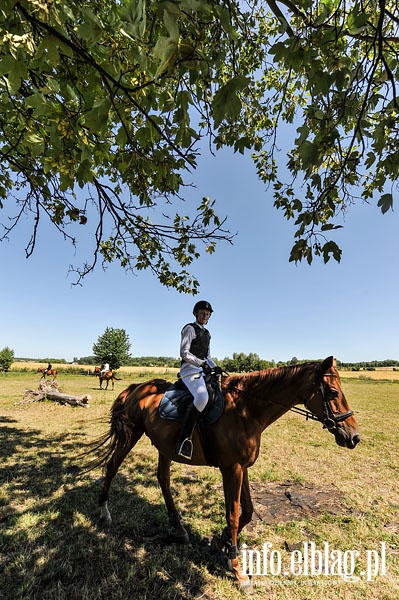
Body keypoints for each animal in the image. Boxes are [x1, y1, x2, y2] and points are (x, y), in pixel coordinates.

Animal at [86, 356, 360, 584]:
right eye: (333, 392)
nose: (354, 437)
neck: (247, 409)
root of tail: (136, 388)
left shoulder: (242, 467)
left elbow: (247, 511)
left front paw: (221, 542)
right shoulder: (232, 469)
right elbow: (234, 514)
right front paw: (237, 569)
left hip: (164, 447)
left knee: (163, 479)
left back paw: (179, 529)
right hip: (131, 434)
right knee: (112, 466)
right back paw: (104, 512)